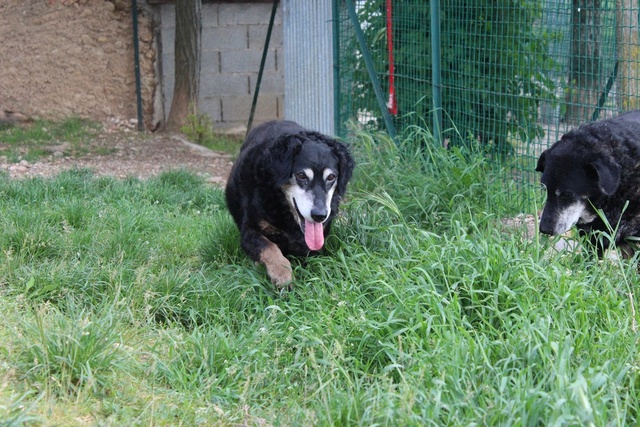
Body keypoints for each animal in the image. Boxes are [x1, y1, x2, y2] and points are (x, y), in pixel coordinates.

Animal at [225, 119, 356, 288]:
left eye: (331, 177)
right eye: (301, 175)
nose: (319, 215)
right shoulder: (249, 230)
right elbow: (269, 247)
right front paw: (282, 274)